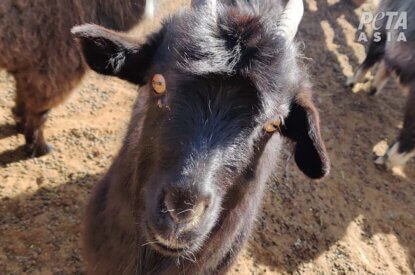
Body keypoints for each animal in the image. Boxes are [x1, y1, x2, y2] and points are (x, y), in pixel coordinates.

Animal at [0, 0, 149, 157]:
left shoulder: (29, 66)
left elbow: (23, 99)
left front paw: (21, 125)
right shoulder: (54, 69)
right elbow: (40, 113)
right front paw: (39, 147)